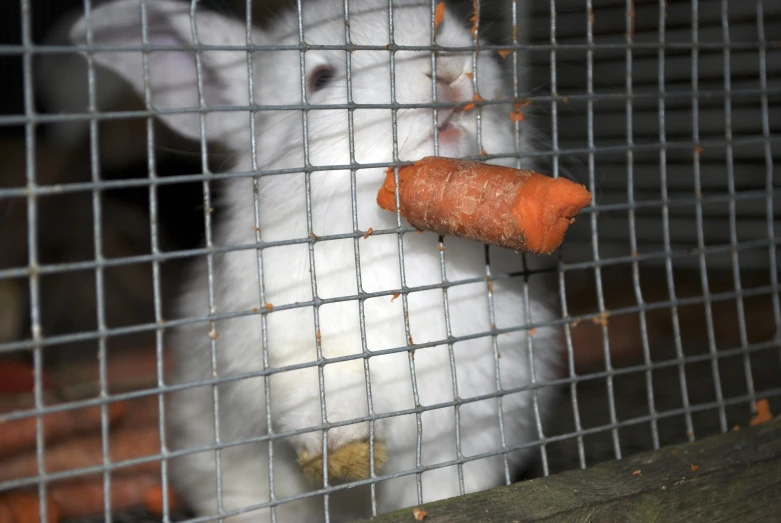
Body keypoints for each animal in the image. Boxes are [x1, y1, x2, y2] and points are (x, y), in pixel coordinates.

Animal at [68, 2, 560, 520]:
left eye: (455, 33)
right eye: (321, 78)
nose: (445, 70)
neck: (402, 250)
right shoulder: (286, 351)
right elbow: (325, 392)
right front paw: (346, 448)